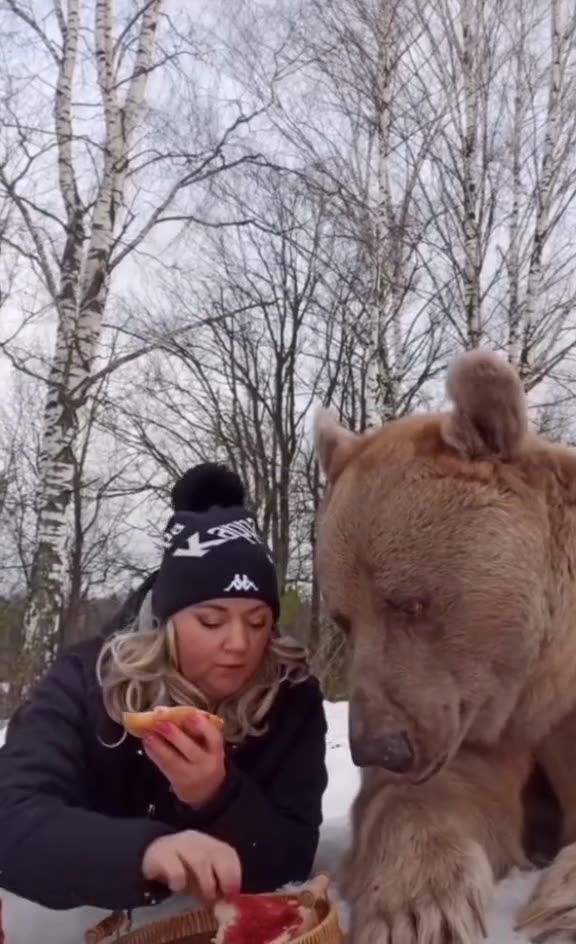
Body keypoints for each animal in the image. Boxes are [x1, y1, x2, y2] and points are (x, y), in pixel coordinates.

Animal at [313, 348, 576, 943]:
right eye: (343, 618)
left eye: (411, 603)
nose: (379, 747)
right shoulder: (471, 716)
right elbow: (425, 797)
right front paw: (416, 910)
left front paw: (557, 906)